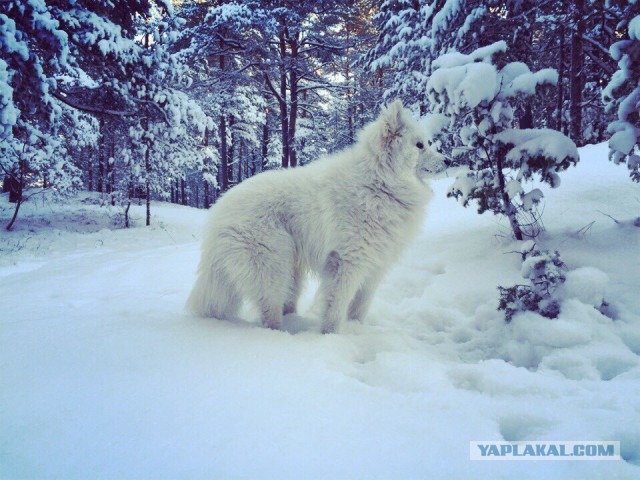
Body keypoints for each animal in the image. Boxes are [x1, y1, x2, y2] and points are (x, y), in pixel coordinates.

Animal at [186, 100, 444, 334]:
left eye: (428, 143)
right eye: (419, 145)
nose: (449, 160)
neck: (379, 181)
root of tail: (219, 210)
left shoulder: (374, 265)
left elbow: (360, 306)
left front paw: (357, 330)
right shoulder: (346, 263)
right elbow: (336, 307)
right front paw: (331, 336)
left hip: (290, 268)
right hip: (272, 266)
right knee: (270, 311)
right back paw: (279, 335)